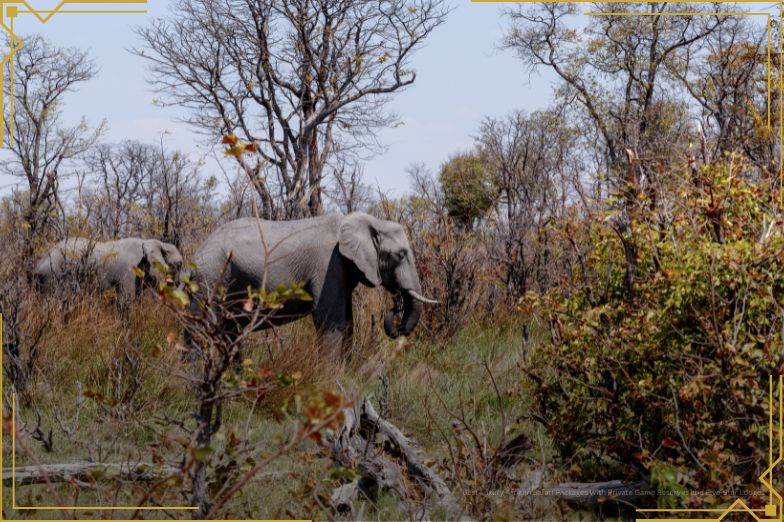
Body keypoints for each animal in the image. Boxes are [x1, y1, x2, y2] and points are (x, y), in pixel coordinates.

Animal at [189, 212, 437, 360]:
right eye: (400, 255)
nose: (396, 303)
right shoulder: (329, 263)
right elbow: (331, 320)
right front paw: (330, 377)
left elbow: (347, 323)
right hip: (210, 277)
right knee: (202, 330)